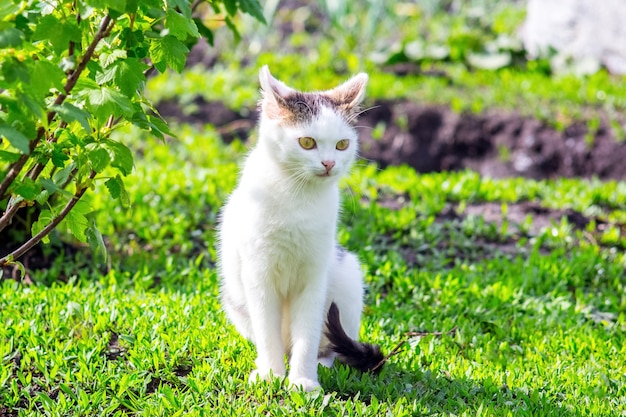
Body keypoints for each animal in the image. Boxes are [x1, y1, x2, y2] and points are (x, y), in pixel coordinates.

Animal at [217, 66, 378, 390]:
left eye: (342, 144)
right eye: (307, 143)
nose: (329, 163)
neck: (298, 198)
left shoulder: (315, 276)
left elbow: (309, 331)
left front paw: (303, 382)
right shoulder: (258, 275)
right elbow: (267, 331)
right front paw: (270, 375)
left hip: (347, 277)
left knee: (329, 342)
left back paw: (321, 363)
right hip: (234, 297)